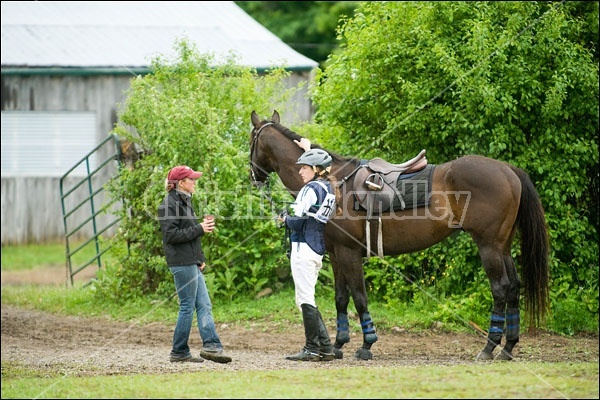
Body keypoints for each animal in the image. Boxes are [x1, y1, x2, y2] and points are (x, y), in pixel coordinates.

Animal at [248, 110, 548, 362]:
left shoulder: (349, 253)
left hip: (488, 246)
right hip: (503, 246)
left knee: (500, 289)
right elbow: (341, 299)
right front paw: (337, 345)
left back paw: (489, 347)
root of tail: (507, 170)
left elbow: (359, 297)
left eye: (251, 139)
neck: (334, 183)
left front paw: (366, 345)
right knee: (514, 287)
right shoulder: (335, 254)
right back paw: (508, 347)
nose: (252, 177)